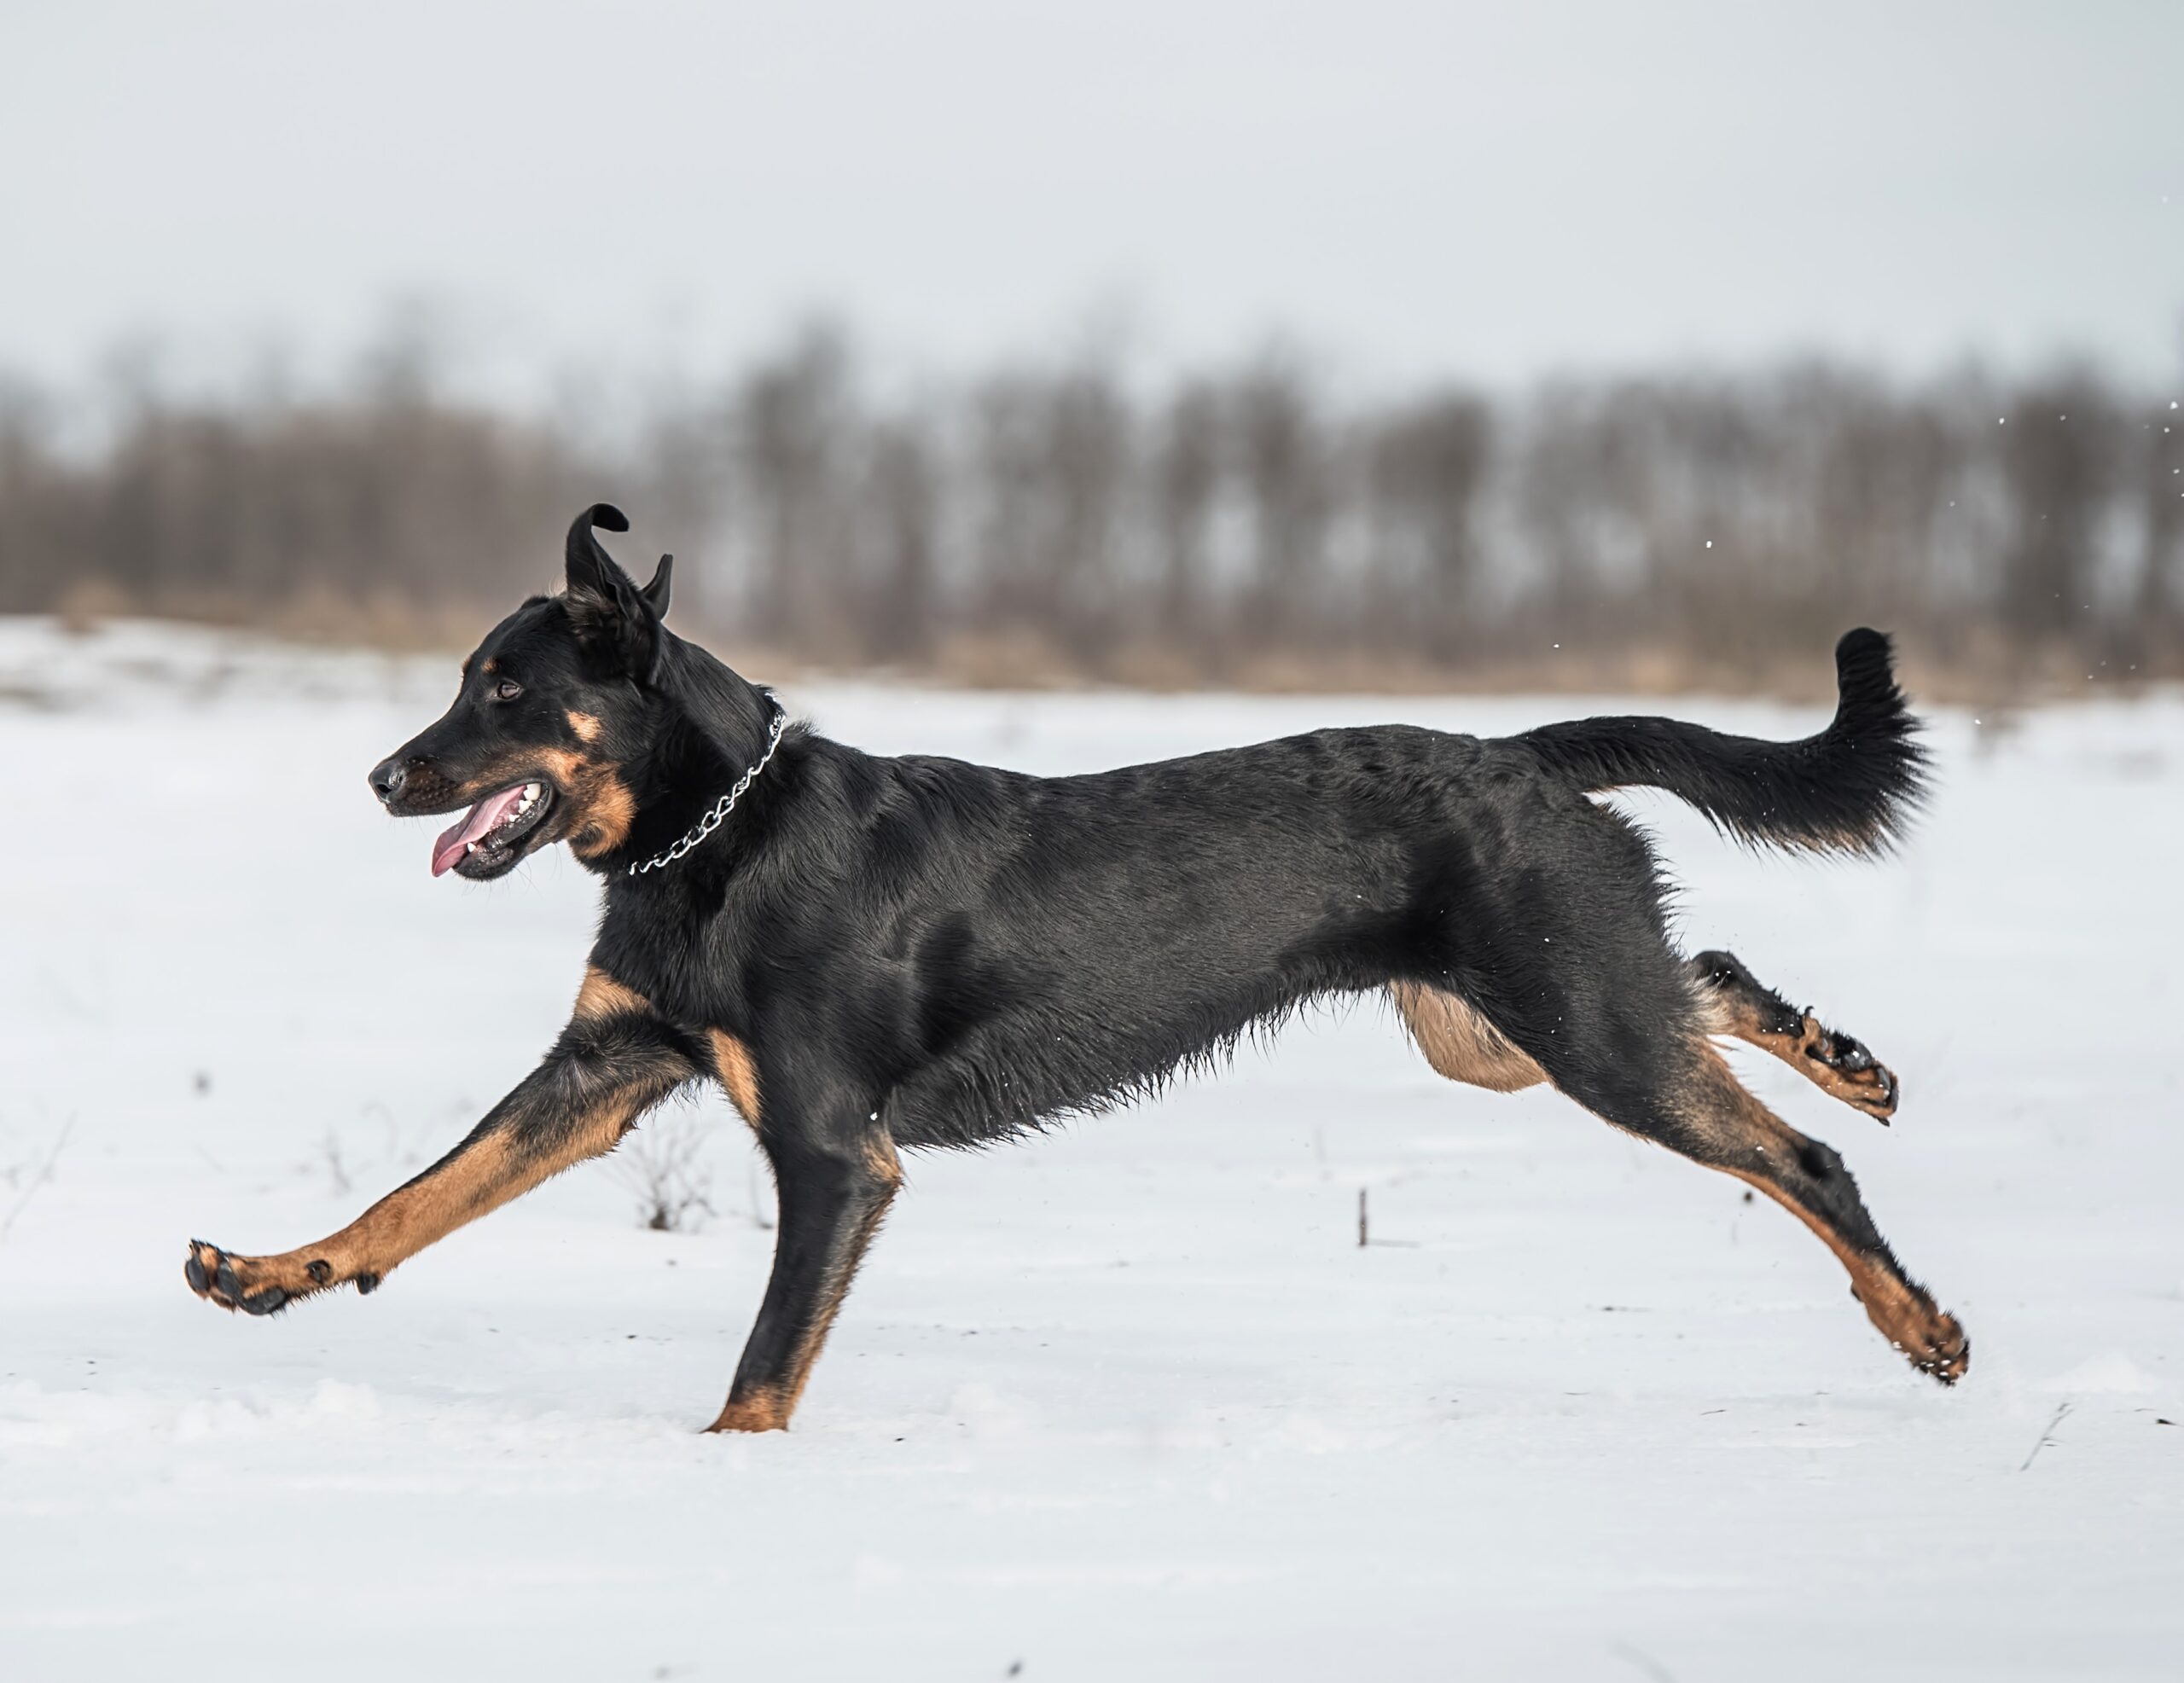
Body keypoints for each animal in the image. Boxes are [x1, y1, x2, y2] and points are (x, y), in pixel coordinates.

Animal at [183, 504, 1966, 1431]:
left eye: (503, 689)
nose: (382, 777)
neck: (714, 840)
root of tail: (1526, 754)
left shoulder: (835, 1155)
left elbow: (761, 1363)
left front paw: (729, 1482)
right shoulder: (605, 1068)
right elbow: (419, 1193)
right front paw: (265, 1271)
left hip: (1574, 1022)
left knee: (1796, 1158)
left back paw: (1920, 1317)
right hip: (1503, 1024)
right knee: (1709, 972)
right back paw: (1855, 1058)